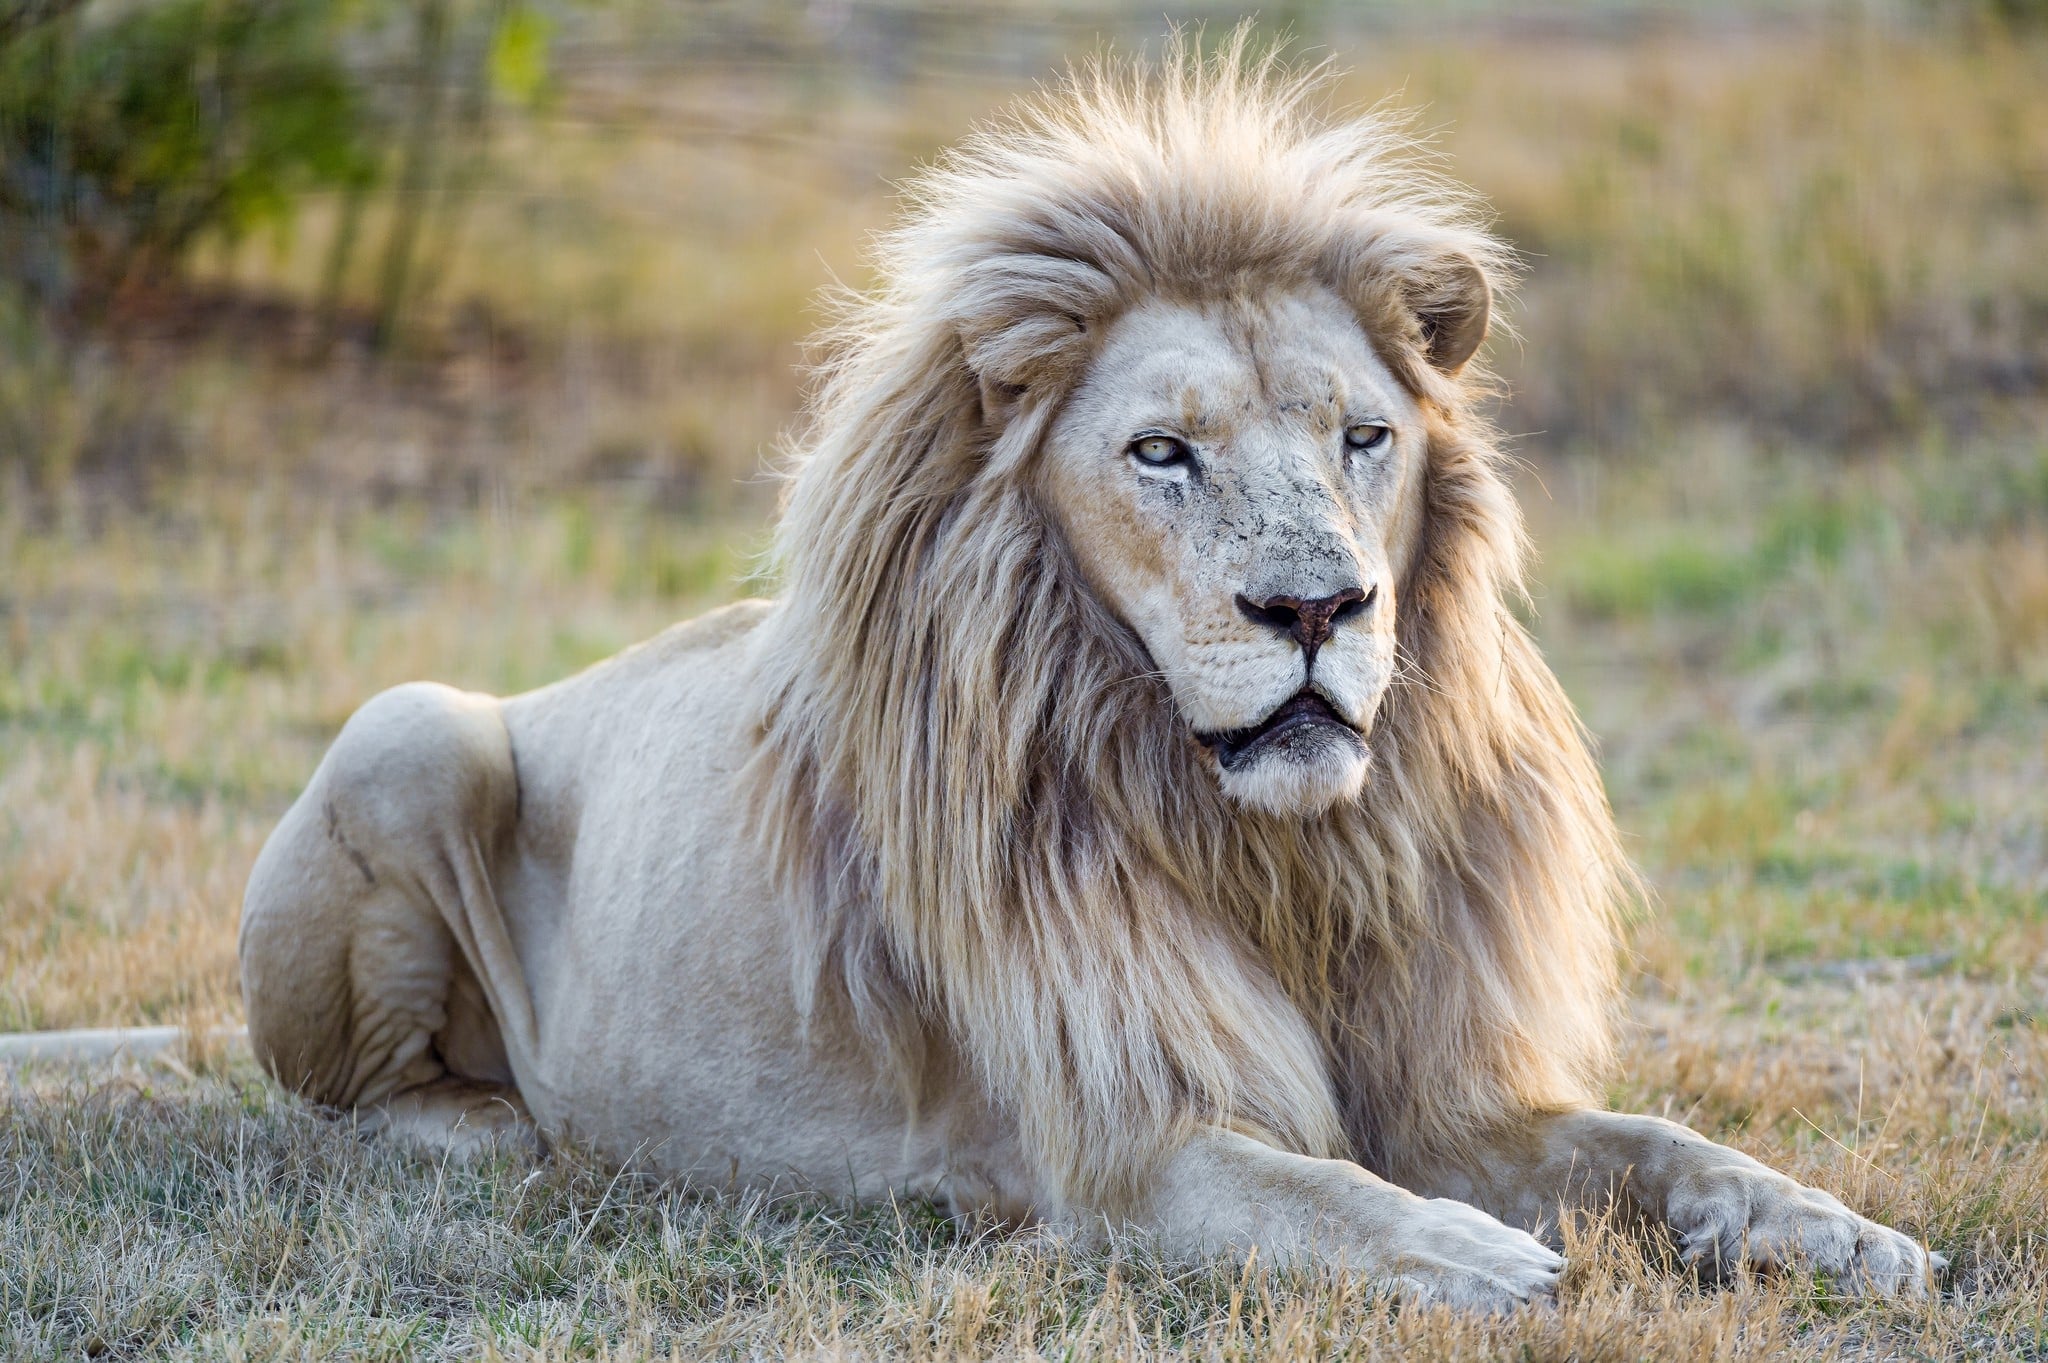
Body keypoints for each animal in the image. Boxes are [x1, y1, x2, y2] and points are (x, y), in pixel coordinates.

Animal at [239, 42, 1933, 1309]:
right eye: (1161, 451)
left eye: (1363, 436)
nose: (1317, 604)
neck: (1272, 853)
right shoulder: (1109, 1146)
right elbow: (1313, 1190)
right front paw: (1485, 1257)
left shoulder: (1446, 1086)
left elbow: (1660, 1140)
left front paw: (1841, 1232)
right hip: (407, 727)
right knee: (344, 1107)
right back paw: (514, 1130)